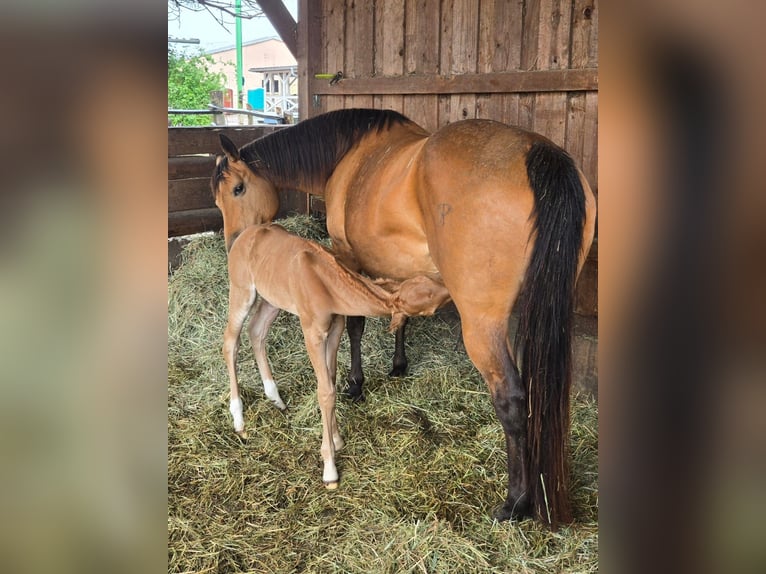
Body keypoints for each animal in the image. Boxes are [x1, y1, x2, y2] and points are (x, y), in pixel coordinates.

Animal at [221, 220, 451, 488]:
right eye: (429, 303)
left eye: (425, 280)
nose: (449, 287)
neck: (325, 282)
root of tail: (244, 234)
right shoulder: (312, 331)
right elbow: (325, 391)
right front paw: (330, 468)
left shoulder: (336, 327)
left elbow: (330, 379)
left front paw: (338, 440)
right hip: (241, 290)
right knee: (231, 342)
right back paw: (239, 420)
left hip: (272, 299)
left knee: (257, 331)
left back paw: (276, 398)